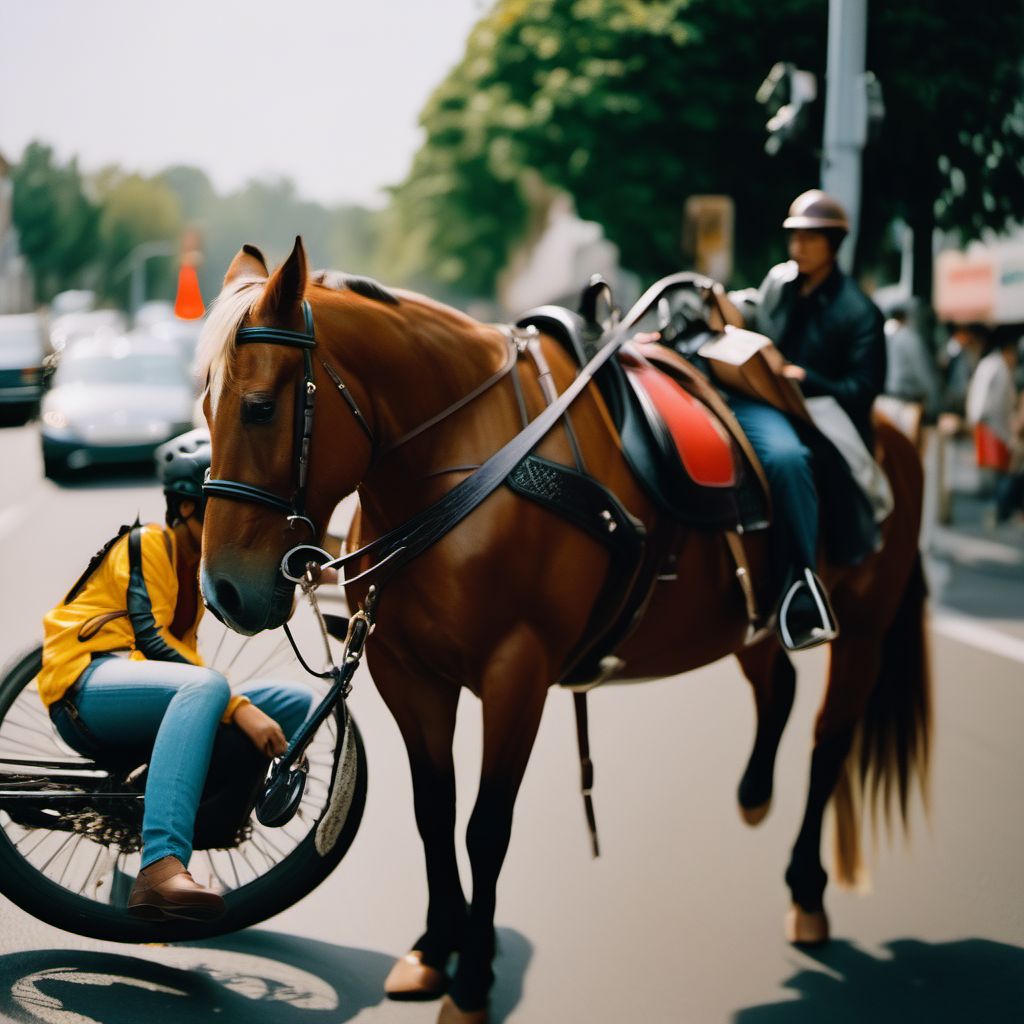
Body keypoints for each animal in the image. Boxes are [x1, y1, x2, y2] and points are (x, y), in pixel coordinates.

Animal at [195, 239, 933, 1024]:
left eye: (261, 408)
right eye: (203, 404)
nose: (224, 590)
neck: (468, 466)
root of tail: (892, 432)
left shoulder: (517, 675)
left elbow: (485, 828)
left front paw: (473, 978)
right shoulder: (408, 673)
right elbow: (434, 811)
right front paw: (435, 947)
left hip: (863, 631)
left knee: (829, 743)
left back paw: (807, 890)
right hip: (749, 622)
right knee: (780, 685)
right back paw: (755, 794)